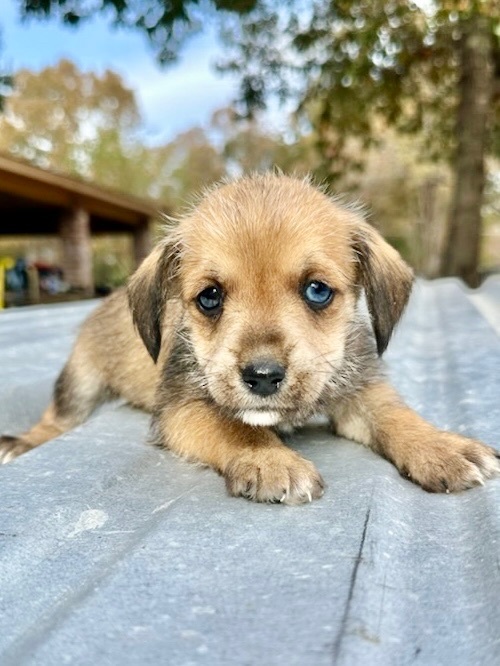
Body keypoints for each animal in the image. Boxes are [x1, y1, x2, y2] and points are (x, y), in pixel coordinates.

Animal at [0, 174, 500, 500]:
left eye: (318, 290)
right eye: (209, 297)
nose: (262, 377)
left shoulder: (362, 391)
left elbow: (397, 416)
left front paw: (439, 446)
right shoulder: (182, 409)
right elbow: (234, 427)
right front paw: (270, 460)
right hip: (80, 380)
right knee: (57, 418)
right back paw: (21, 443)